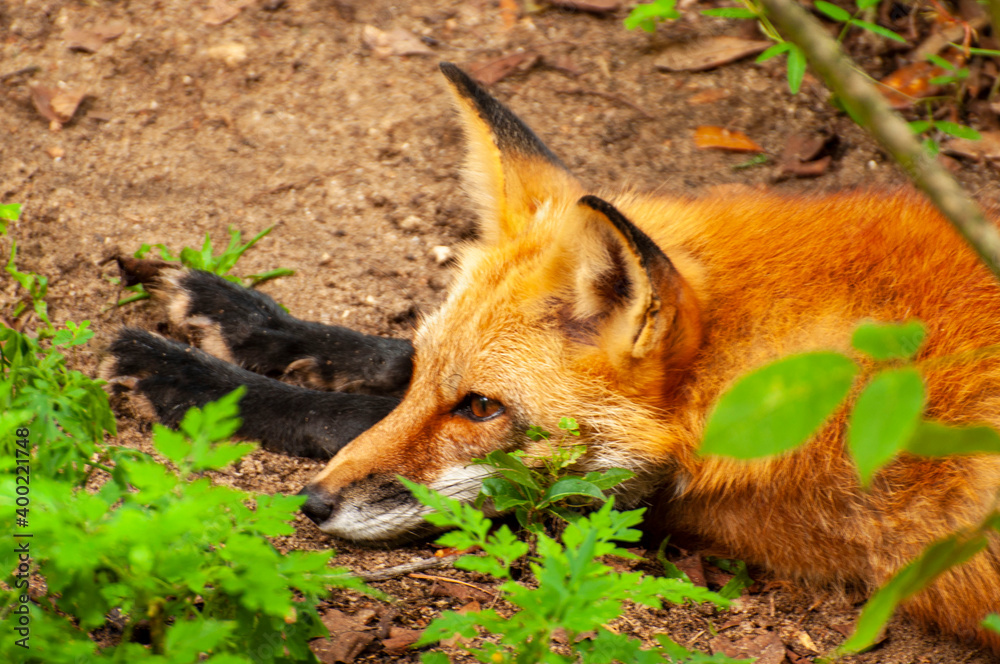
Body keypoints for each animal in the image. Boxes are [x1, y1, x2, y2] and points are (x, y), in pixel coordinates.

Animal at [104, 62, 1000, 650]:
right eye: (436, 381)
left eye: (481, 409)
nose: (313, 505)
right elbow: (377, 361)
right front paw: (246, 321)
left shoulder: (688, 504)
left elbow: (343, 410)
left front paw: (192, 377)